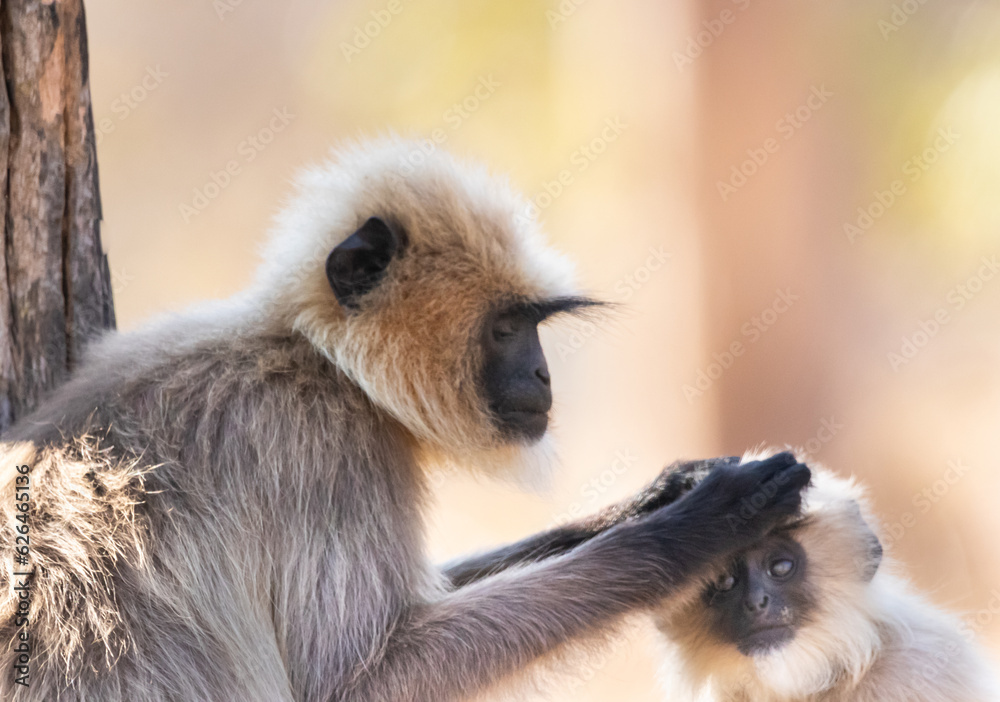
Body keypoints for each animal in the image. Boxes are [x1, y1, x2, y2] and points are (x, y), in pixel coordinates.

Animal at [0, 139, 813, 701]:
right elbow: (354, 681)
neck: (319, 361)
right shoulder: (325, 443)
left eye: (534, 329)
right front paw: (694, 527)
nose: (544, 376)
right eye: (508, 329)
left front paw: (659, 494)